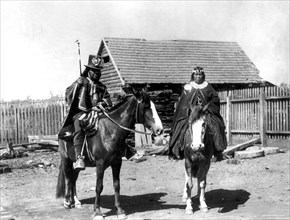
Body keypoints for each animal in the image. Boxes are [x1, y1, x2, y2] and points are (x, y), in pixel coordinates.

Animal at [55, 88, 162, 220]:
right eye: (146, 107)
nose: (160, 130)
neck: (110, 131)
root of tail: (62, 131)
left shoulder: (117, 162)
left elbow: (117, 185)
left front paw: (120, 211)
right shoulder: (100, 164)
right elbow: (98, 187)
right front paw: (97, 212)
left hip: (79, 164)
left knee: (73, 177)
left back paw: (76, 202)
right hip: (66, 160)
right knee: (68, 177)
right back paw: (67, 202)